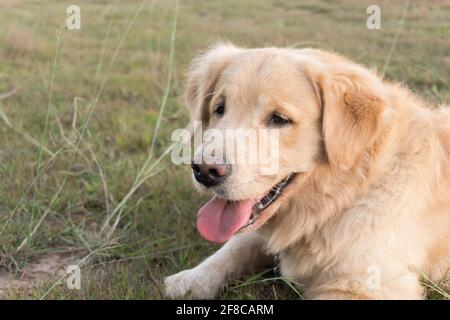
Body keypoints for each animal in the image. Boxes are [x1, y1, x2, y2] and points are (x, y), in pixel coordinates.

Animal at [165, 43, 450, 300]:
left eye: (279, 119)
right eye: (219, 109)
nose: (204, 170)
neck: (342, 199)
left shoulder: (367, 285)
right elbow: (236, 245)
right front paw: (190, 280)